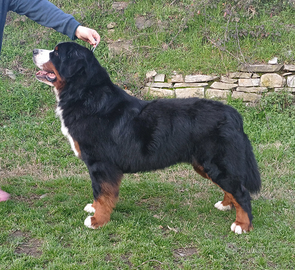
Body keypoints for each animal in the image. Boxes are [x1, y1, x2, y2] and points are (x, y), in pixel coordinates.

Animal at [33, 42, 262, 234]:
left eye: (56, 52)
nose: (34, 51)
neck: (85, 95)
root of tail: (232, 113)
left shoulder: (101, 163)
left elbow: (103, 193)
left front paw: (98, 220)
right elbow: (99, 192)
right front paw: (94, 208)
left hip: (216, 162)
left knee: (241, 192)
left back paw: (242, 224)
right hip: (204, 164)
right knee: (232, 188)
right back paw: (225, 205)